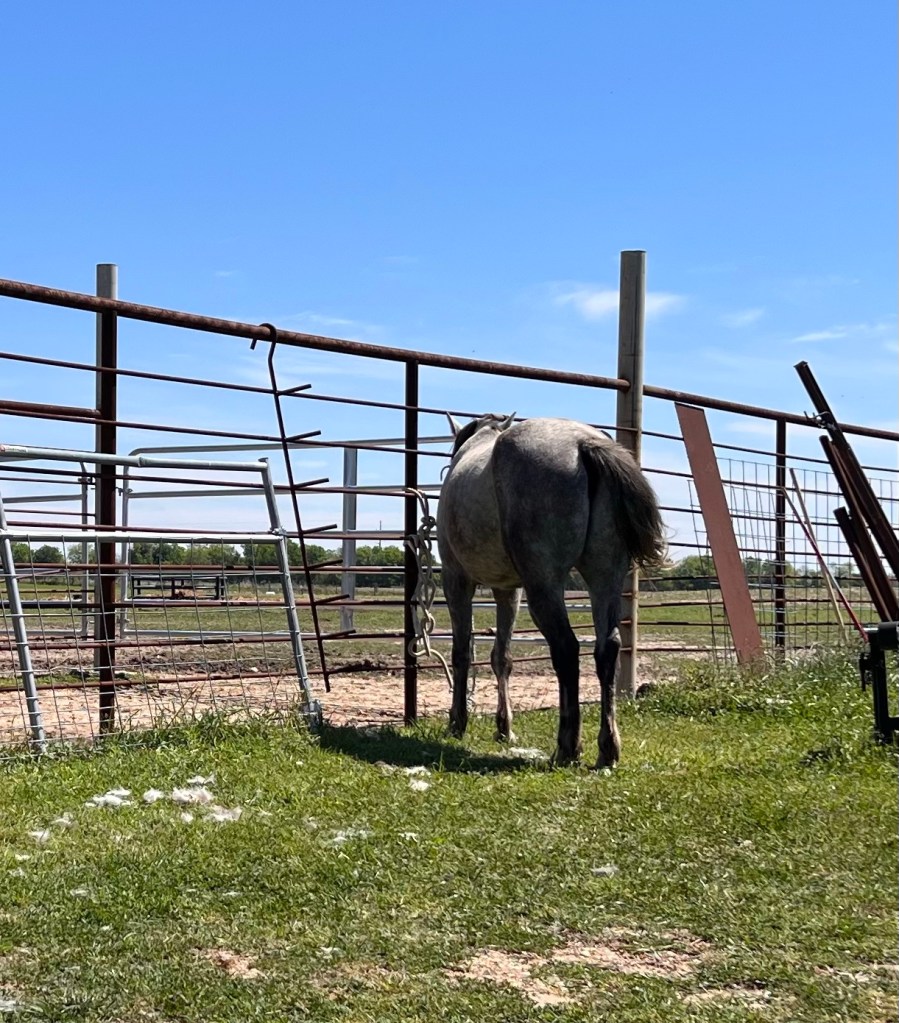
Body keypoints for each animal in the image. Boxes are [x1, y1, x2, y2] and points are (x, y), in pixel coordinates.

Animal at [436, 413, 666, 768]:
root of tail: (583, 443)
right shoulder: (508, 590)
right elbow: (502, 657)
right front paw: (504, 728)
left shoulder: (456, 579)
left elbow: (462, 653)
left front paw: (457, 722)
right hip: (604, 577)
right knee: (607, 648)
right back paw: (607, 748)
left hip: (544, 586)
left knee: (567, 649)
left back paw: (567, 747)